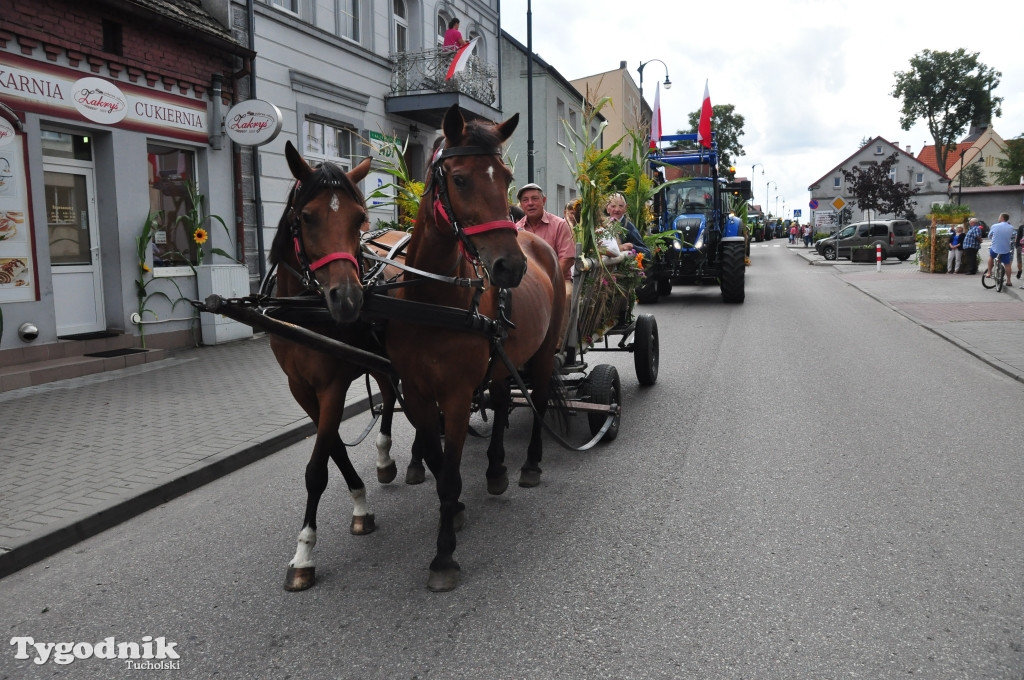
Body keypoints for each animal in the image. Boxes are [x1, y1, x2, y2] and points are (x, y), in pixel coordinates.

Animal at [268, 140, 399, 593]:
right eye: (306, 217)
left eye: (359, 218)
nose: (348, 299)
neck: (307, 312)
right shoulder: (301, 389)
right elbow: (334, 451)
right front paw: (360, 506)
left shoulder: (333, 386)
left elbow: (316, 468)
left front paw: (305, 552)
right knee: (390, 393)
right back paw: (386, 460)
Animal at [385, 104, 565, 589]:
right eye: (461, 179)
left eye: (506, 177)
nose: (510, 267)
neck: (434, 301)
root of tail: (534, 241)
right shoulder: (417, 393)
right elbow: (435, 460)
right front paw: (455, 510)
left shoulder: (457, 394)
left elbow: (448, 474)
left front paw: (444, 556)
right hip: (504, 356)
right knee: (502, 402)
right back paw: (497, 468)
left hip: (544, 352)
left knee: (539, 399)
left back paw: (530, 465)